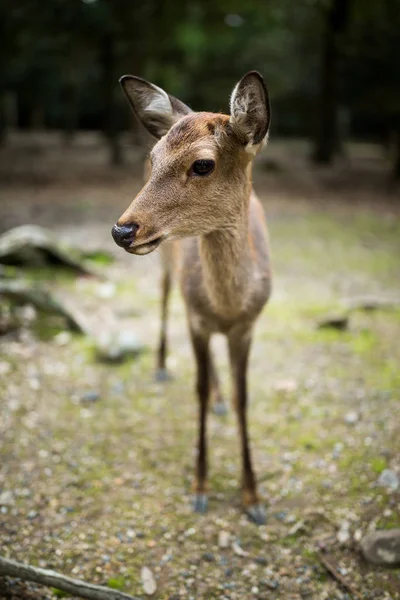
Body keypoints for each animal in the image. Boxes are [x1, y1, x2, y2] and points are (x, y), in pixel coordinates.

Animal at [111, 70, 272, 524]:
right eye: (154, 158)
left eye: (202, 164)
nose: (122, 230)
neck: (228, 306)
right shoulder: (198, 318)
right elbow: (196, 392)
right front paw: (200, 487)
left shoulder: (248, 326)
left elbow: (243, 397)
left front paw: (253, 497)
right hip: (169, 271)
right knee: (166, 301)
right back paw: (163, 366)